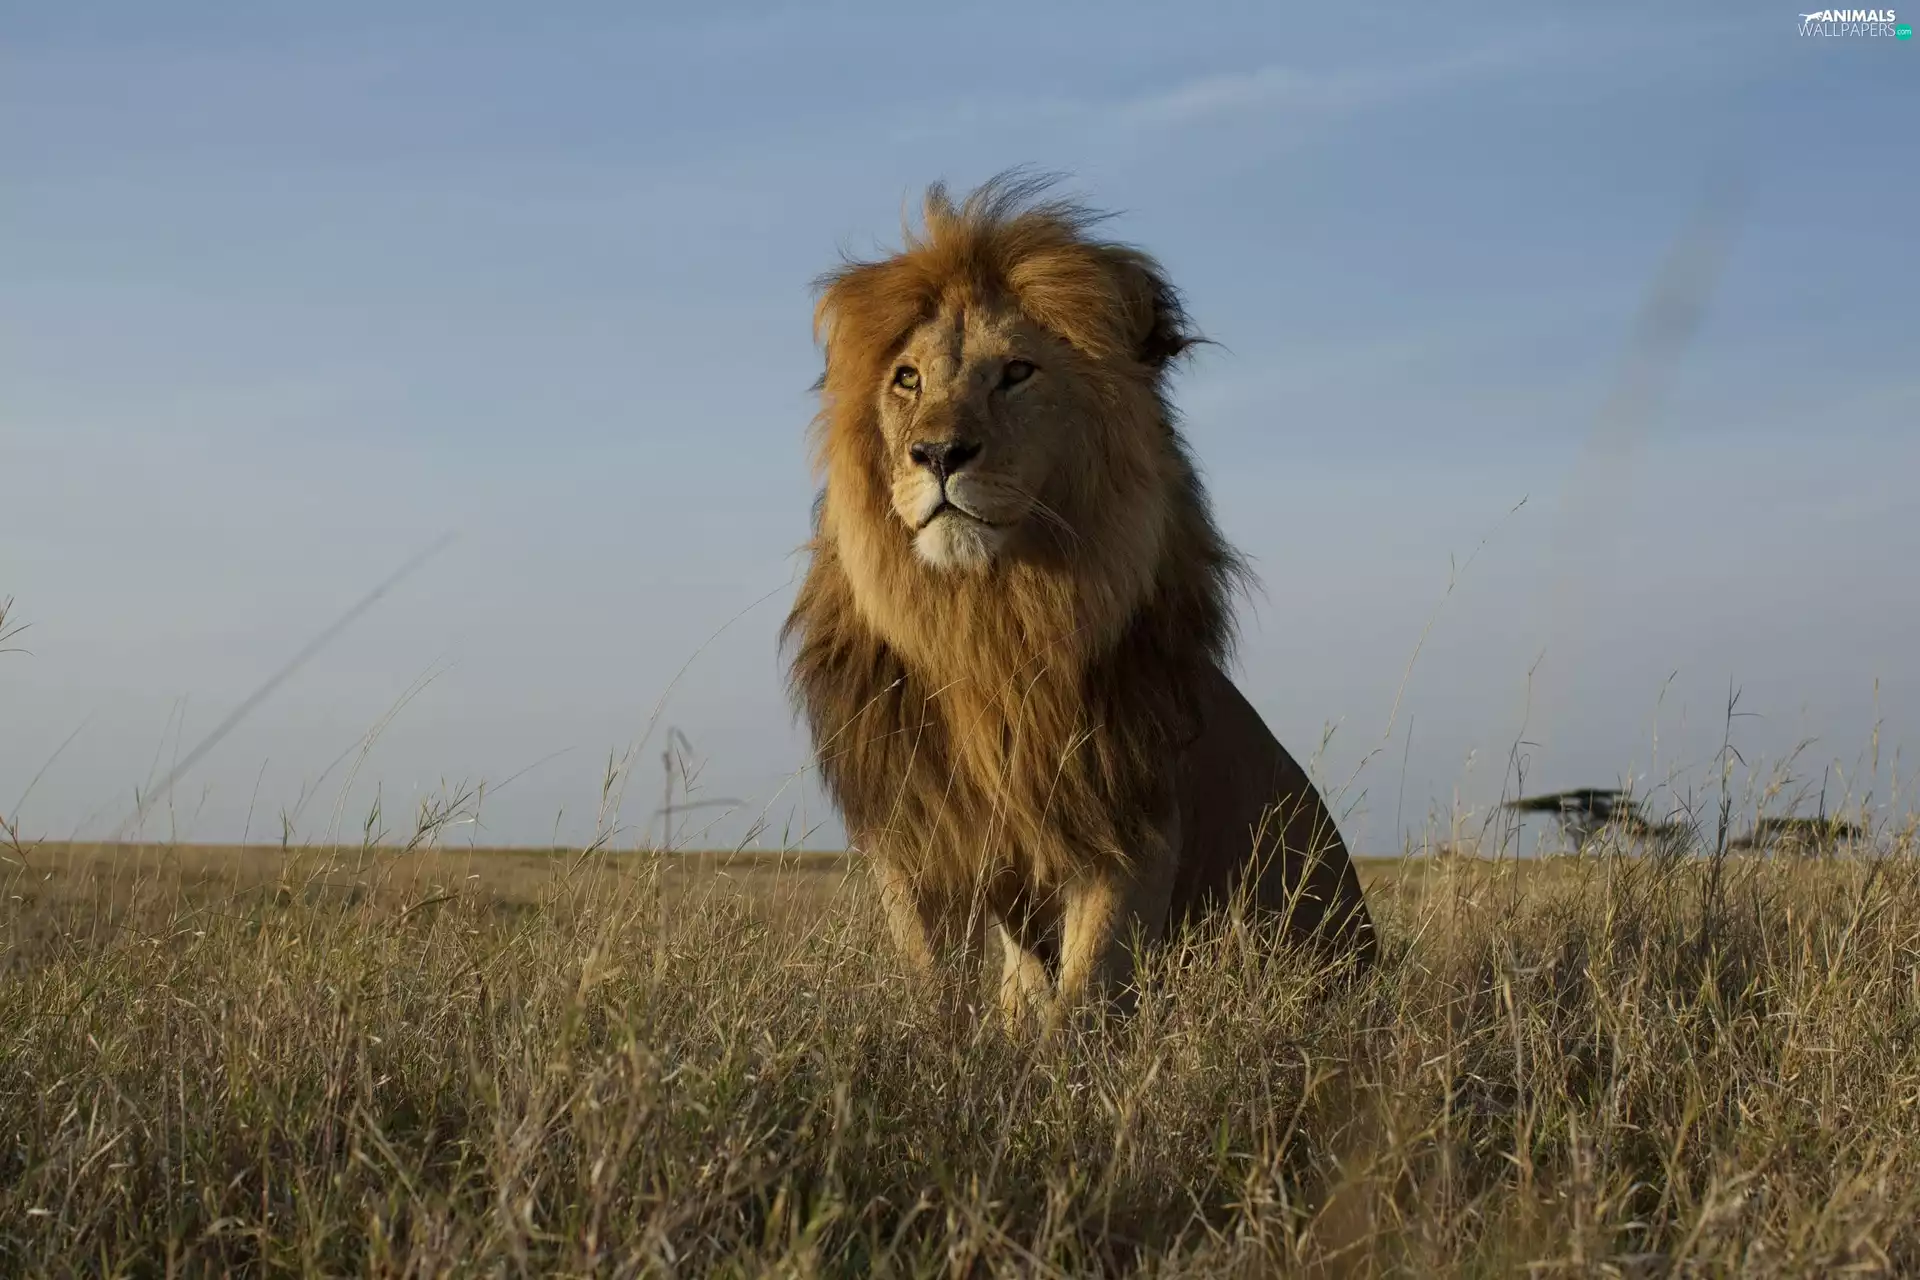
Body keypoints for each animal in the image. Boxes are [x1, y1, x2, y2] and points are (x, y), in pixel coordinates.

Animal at [782, 173, 1376, 1026]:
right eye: (908, 379)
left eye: (1016, 373)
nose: (937, 453)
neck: (986, 623)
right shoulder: (914, 834)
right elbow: (935, 987)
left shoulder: (1125, 824)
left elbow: (1085, 993)